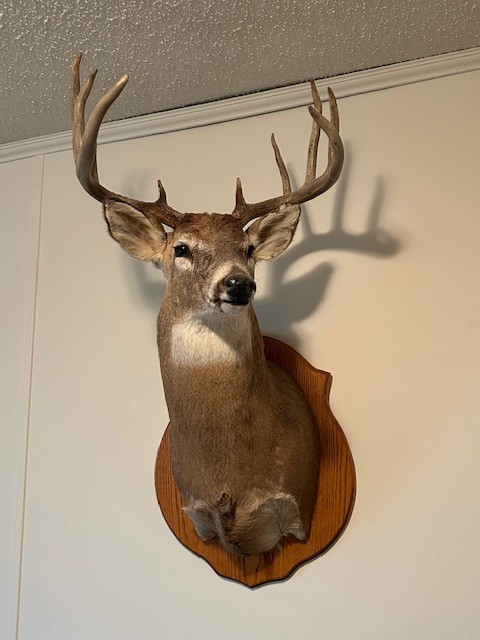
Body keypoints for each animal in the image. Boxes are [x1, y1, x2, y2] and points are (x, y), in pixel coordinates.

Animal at [71, 53, 344, 556]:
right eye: (180, 248)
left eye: (248, 249)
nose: (238, 284)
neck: (229, 478)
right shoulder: (196, 513)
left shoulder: (294, 511)